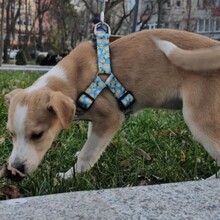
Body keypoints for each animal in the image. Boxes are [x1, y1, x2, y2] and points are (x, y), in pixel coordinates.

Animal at [4, 28, 220, 179]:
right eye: (11, 134)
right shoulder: (97, 122)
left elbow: (88, 153)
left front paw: (70, 176)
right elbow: (91, 143)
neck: (73, 79)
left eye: (37, 135)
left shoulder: (110, 118)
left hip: (199, 116)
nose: (14, 171)